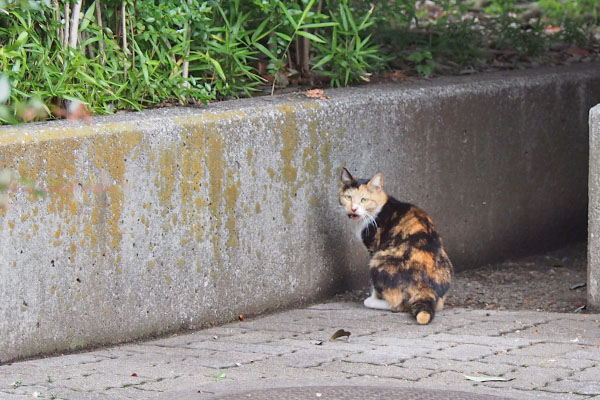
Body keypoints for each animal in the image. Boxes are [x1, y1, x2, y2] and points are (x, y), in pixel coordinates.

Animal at [340, 167, 452, 324]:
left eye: (364, 200)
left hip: (378, 261)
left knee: (399, 304)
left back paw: (373, 302)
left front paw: (372, 297)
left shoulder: (373, 248)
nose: (353, 209)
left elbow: (375, 287)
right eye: (348, 197)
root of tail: (427, 287)